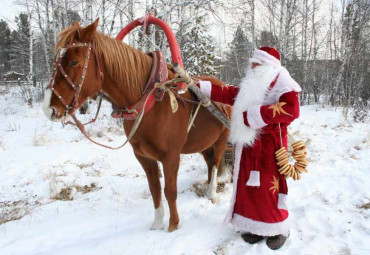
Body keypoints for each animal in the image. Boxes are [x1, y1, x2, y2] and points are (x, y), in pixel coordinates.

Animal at [42, 19, 231, 231]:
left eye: (74, 61)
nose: (48, 108)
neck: (151, 101)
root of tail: (223, 85)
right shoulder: (143, 156)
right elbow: (155, 189)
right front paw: (157, 224)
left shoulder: (171, 156)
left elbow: (170, 190)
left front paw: (173, 226)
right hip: (204, 143)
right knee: (209, 162)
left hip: (221, 140)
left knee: (215, 162)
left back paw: (211, 192)